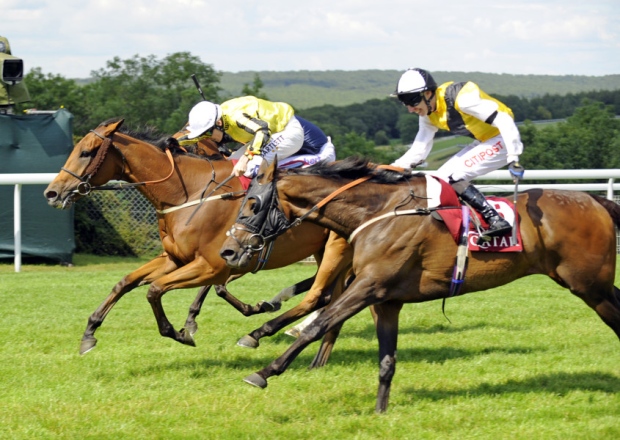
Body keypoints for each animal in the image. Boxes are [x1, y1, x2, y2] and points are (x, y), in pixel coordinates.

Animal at [44, 118, 348, 356]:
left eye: (86, 152)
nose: (52, 192)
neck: (189, 194)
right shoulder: (175, 258)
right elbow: (125, 282)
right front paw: (89, 332)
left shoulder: (213, 265)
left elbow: (157, 289)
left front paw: (182, 331)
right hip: (323, 250)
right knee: (326, 292)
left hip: (335, 248)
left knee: (321, 294)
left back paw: (267, 328)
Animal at [218, 157, 620, 412]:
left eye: (252, 204)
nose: (228, 250)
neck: (379, 213)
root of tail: (596, 201)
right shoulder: (385, 299)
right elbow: (386, 359)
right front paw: (380, 412)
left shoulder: (366, 287)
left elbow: (316, 326)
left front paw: (264, 372)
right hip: (594, 283)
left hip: (588, 285)